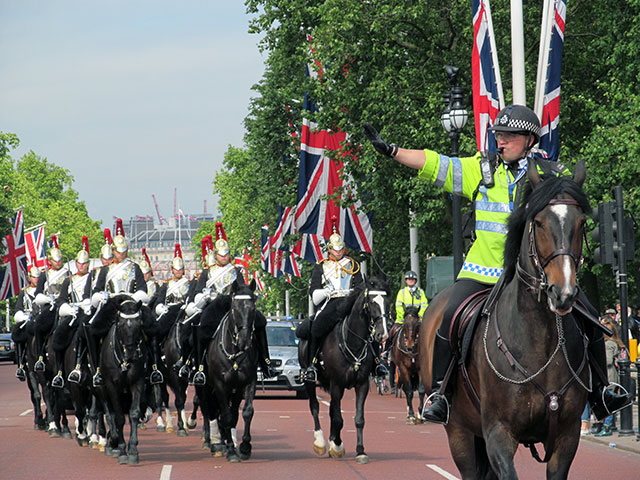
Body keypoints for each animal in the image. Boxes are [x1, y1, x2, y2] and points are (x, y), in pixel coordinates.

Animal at [99, 296, 150, 464]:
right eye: (120, 324)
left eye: (139, 323)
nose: (131, 354)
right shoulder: (111, 386)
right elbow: (119, 417)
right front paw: (121, 449)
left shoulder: (137, 382)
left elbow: (134, 413)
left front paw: (133, 449)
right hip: (102, 389)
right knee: (109, 411)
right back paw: (112, 441)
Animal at [204, 280, 256, 464]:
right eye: (235, 308)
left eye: (253, 307)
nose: (244, 341)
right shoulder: (219, 386)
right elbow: (225, 416)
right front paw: (232, 451)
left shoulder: (247, 383)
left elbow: (246, 412)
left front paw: (245, 447)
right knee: (213, 411)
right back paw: (216, 443)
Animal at [298, 280, 390, 464]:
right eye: (371, 303)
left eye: (387, 302)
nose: (382, 335)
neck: (352, 342)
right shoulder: (337, 384)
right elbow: (338, 419)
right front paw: (337, 446)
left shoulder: (362, 385)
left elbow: (358, 419)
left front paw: (360, 451)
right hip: (309, 380)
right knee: (315, 407)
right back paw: (321, 443)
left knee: (331, 409)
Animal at [420, 159, 592, 478]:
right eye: (538, 222)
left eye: (581, 223)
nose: (563, 293)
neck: (541, 341)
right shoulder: (498, 433)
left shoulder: (567, 436)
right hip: (459, 432)